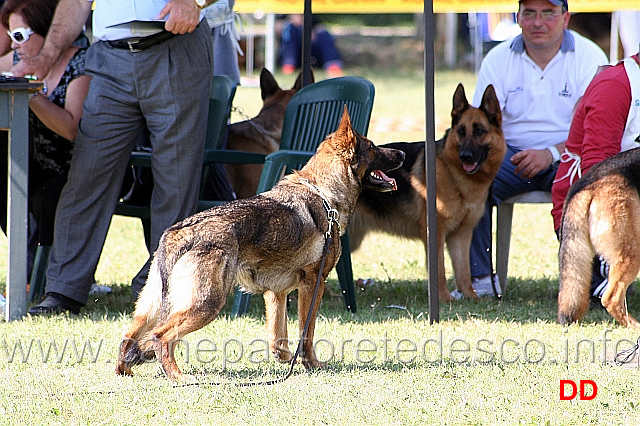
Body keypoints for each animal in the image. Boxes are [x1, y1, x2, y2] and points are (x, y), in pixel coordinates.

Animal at [115, 109, 404, 380]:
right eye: (373, 146)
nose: (402, 152)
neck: (323, 194)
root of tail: (177, 233)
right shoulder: (313, 284)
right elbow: (306, 333)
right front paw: (312, 364)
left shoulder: (276, 293)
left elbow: (279, 337)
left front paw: (285, 359)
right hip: (207, 303)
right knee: (160, 336)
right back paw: (177, 376)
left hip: (151, 306)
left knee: (130, 337)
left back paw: (125, 371)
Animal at [350, 83, 504, 302]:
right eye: (461, 131)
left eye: (480, 131)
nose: (465, 156)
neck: (452, 172)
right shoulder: (435, 233)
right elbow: (439, 270)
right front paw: (444, 299)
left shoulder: (461, 235)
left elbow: (463, 271)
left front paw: (471, 298)